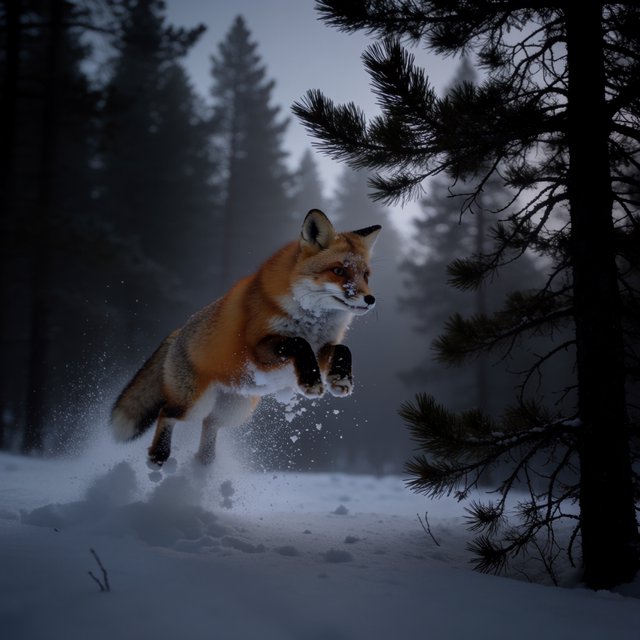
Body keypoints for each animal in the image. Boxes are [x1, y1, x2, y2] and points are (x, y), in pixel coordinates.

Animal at [110, 209, 381, 467]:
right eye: (338, 271)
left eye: (366, 275)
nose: (370, 299)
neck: (312, 322)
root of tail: (179, 330)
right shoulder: (258, 353)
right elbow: (298, 342)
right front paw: (311, 382)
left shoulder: (322, 349)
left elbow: (344, 349)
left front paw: (341, 378)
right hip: (194, 403)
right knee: (167, 412)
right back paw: (159, 456)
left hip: (234, 411)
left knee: (210, 425)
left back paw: (204, 467)